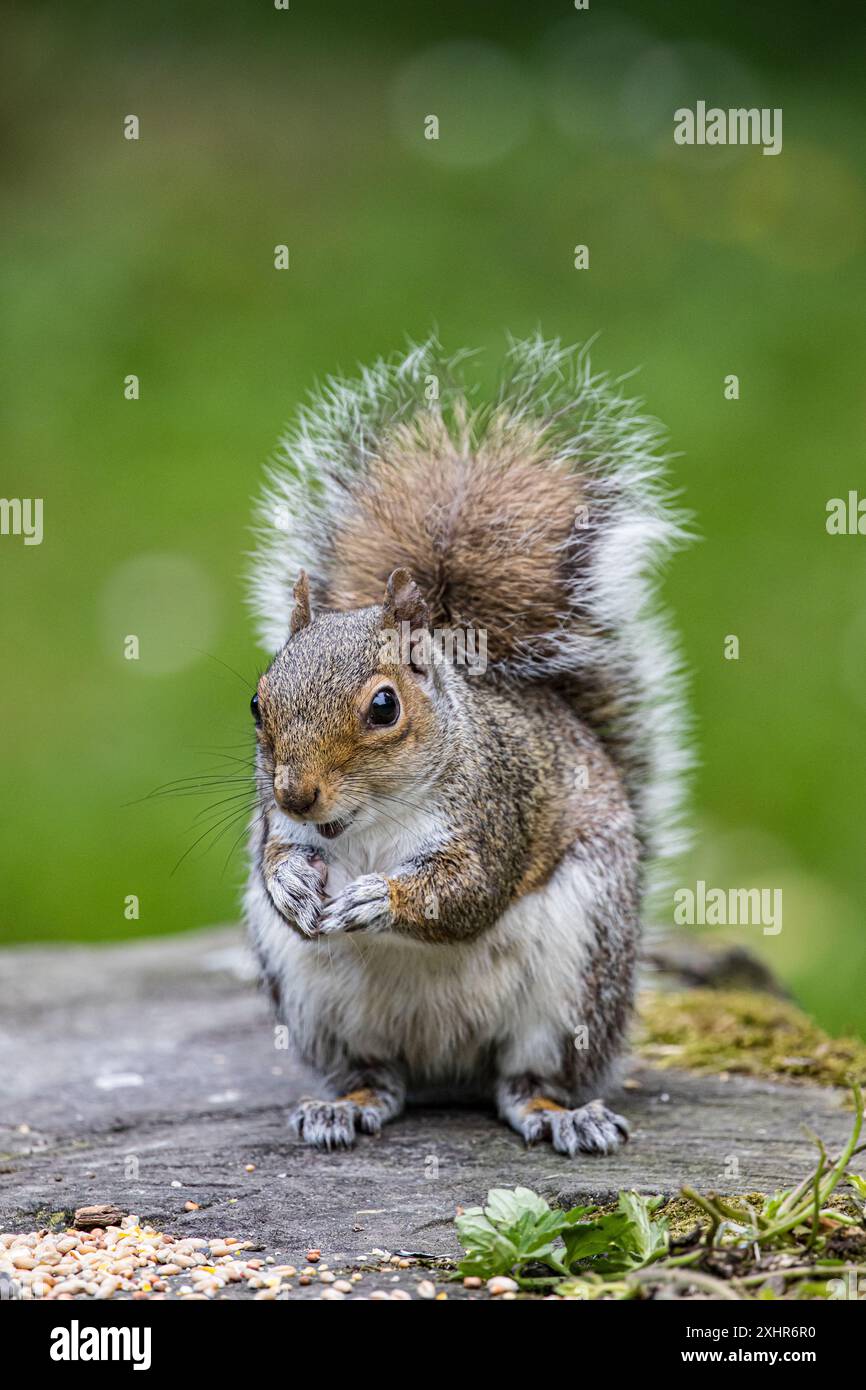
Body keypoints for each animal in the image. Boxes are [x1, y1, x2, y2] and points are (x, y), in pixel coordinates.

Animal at [244, 341, 692, 1156]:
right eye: (257, 703)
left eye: (384, 706)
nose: (296, 792)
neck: (369, 821)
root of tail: (445, 1063)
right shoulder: (280, 826)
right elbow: (277, 856)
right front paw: (291, 884)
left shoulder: (494, 809)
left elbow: (467, 892)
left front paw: (378, 897)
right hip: (319, 1005)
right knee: (378, 1075)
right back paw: (344, 1105)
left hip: (577, 979)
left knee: (526, 1081)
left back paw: (560, 1114)